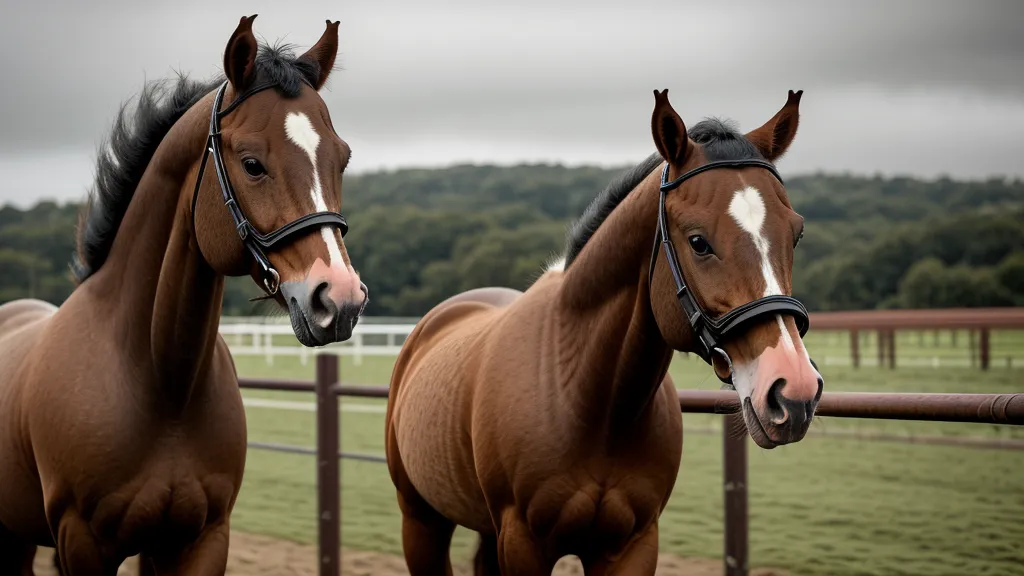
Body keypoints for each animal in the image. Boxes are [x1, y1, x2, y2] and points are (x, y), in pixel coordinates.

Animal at [0, 15, 366, 575]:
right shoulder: (81, 544)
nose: (339, 299)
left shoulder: (200, 539)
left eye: (341, 158)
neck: (160, 382)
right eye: (252, 163)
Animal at [384, 88, 822, 574]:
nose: (794, 392)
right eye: (698, 241)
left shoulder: (633, 545)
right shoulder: (522, 543)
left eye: (796, 233)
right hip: (421, 521)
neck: (590, 402)